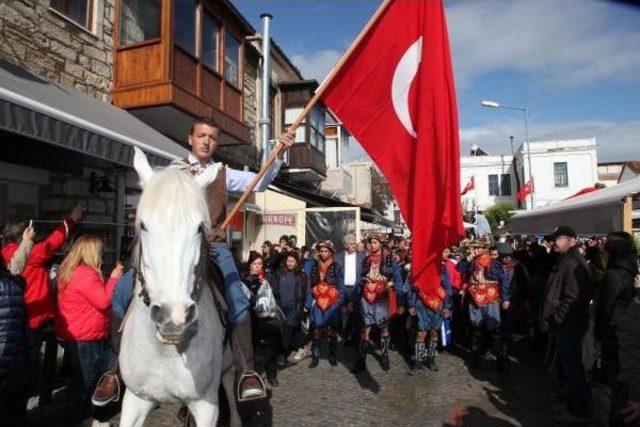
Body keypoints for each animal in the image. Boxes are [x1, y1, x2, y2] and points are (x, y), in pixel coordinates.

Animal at [118, 148, 240, 427]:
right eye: (143, 225)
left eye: (199, 228)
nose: (175, 316)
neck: (166, 349)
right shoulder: (136, 399)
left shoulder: (206, 405)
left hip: (228, 365)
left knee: (230, 384)